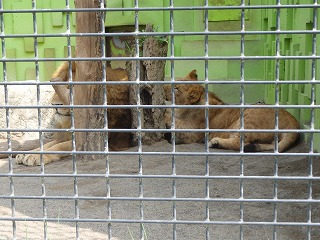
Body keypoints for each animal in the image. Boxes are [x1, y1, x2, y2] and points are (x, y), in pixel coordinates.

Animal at [165, 70, 300, 152]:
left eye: (176, 88)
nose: (162, 86)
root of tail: (293, 123)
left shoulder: (191, 132)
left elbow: (172, 120)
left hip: (248, 118)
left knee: (239, 143)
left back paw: (215, 142)